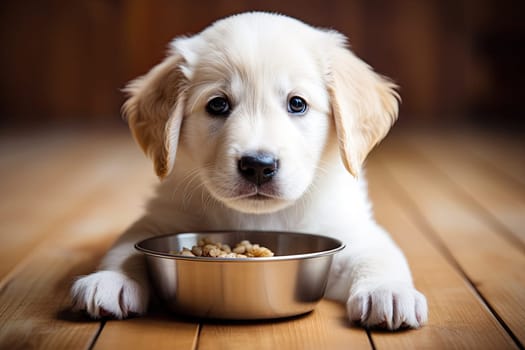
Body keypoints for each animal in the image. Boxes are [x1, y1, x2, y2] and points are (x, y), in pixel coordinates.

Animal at [72, 12, 426, 330]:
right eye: (217, 104)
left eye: (297, 103)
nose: (258, 165)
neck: (260, 217)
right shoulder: (162, 217)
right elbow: (125, 248)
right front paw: (110, 280)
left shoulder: (352, 230)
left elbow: (378, 255)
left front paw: (389, 292)